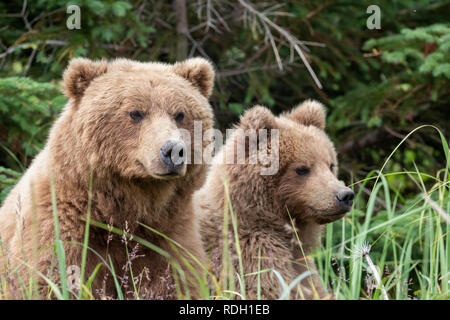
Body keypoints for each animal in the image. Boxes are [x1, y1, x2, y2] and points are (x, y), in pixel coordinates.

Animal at [0, 56, 216, 298]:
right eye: (136, 112)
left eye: (179, 114)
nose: (173, 150)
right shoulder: (61, 224)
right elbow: (49, 277)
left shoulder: (169, 234)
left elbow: (176, 281)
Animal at [195, 102, 354, 300]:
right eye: (302, 169)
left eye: (331, 165)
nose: (345, 195)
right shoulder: (251, 254)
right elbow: (268, 287)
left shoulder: (300, 262)